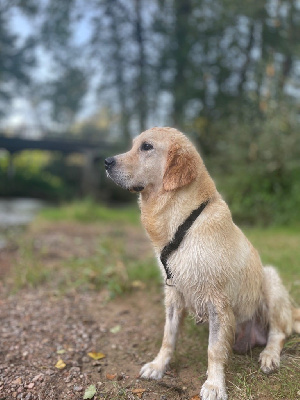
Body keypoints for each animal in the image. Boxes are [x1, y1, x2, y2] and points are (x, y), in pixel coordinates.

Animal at [105, 126, 300, 398]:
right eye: (134, 145)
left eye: (146, 147)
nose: (106, 162)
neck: (185, 222)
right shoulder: (173, 295)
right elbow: (168, 337)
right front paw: (158, 366)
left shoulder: (218, 302)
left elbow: (214, 350)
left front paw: (214, 385)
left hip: (270, 281)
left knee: (278, 332)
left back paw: (269, 356)